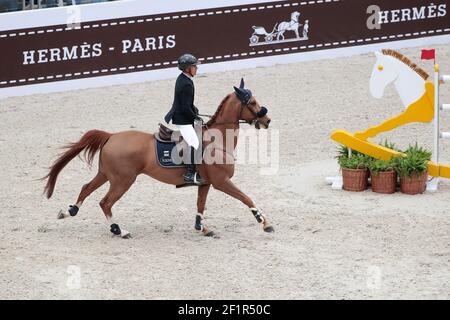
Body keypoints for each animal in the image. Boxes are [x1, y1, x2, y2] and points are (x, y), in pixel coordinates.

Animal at [43, 79, 274, 238]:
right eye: (252, 102)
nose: (267, 120)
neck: (218, 140)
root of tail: (111, 135)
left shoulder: (205, 183)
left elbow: (200, 205)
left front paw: (202, 228)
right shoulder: (221, 182)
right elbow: (246, 198)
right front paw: (265, 223)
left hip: (106, 175)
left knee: (86, 189)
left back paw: (69, 211)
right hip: (122, 181)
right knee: (105, 202)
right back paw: (119, 230)